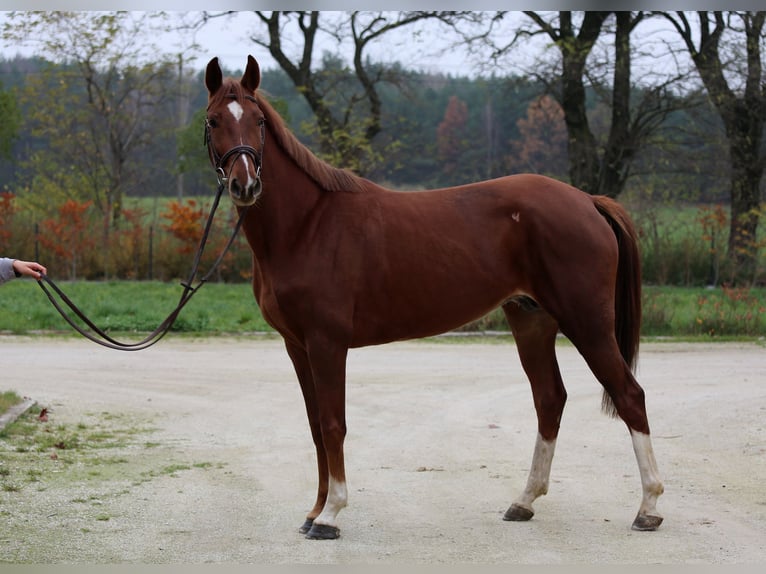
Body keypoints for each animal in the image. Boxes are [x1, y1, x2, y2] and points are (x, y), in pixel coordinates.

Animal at [204, 56, 664, 544]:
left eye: (258, 121)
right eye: (213, 120)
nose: (245, 185)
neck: (308, 225)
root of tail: (588, 201)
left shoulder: (327, 343)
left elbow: (332, 425)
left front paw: (331, 515)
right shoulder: (297, 345)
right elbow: (315, 428)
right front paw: (314, 512)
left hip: (588, 323)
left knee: (630, 395)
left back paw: (648, 508)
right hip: (531, 322)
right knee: (550, 400)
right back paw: (523, 502)